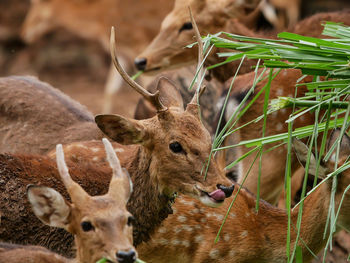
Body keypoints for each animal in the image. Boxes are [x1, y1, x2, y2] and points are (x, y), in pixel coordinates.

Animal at [20, 0, 174, 113]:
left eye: (35, 4)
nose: (23, 33)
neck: (100, 18)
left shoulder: (139, 46)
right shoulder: (122, 53)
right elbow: (110, 89)